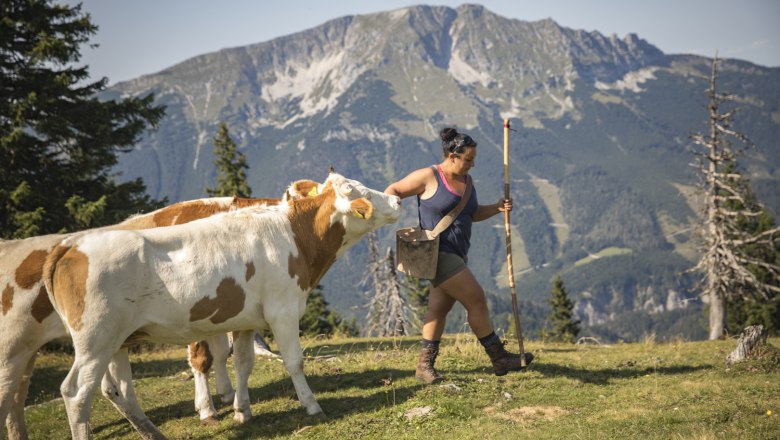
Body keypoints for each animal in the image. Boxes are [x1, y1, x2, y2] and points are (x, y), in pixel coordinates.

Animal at [0, 180, 322, 440]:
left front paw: (228, 396)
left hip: (75, 345)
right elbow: (203, 357)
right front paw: (207, 410)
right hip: (26, 345)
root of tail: (65, 245)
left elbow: (227, 353)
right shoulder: (199, 312)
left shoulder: (228, 312)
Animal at [42, 173, 400, 440]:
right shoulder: (282, 310)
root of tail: (72, 243)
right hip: (95, 341)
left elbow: (243, 363)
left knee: (119, 391)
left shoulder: (246, 319)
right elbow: (295, 362)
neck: (295, 236)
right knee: (76, 393)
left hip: (117, 342)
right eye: (358, 192)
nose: (397, 199)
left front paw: (242, 410)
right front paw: (311, 406)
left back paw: (153, 432)